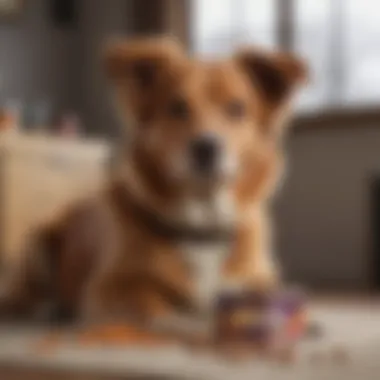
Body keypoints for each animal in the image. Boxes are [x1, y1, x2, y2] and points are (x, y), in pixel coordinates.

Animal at [0, 36, 308, 338]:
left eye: (237, 109)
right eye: (177, 107)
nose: (206, 148)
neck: (201, 223)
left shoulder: (261, 279)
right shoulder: (108, 288)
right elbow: (156, 307)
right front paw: (197, 324)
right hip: (38, 242)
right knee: (26, 298)